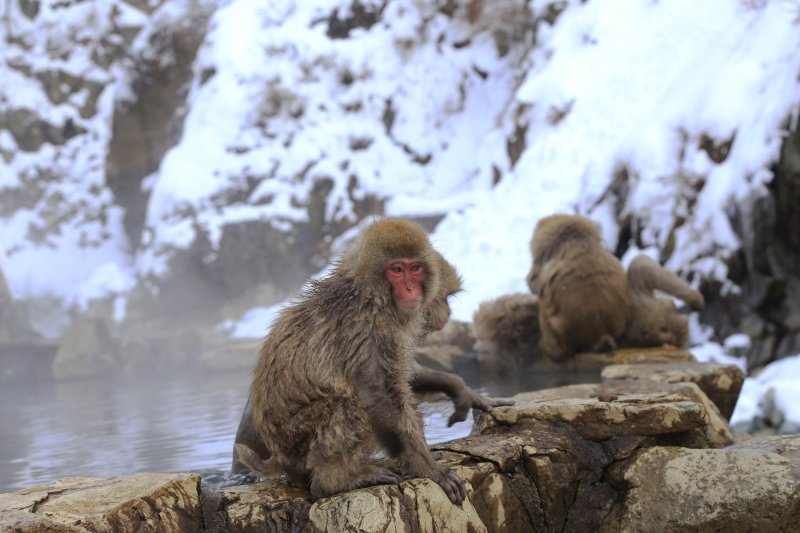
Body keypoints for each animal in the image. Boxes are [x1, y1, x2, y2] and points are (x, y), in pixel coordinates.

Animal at [248, 218, 465, 504]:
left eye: (415, 268)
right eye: (396, 270)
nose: (410, 288)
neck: (369, 294)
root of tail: (279, 458)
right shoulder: (370, 328)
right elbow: (378, 394)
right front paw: (426, 466)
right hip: (296, 441)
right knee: (346, 404)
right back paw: (335, 480)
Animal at [526, 214, 630, 361]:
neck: (578, 241)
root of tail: (601, 334)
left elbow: (535, 283)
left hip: (561, 334)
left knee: (544, 307)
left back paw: (552, 351)